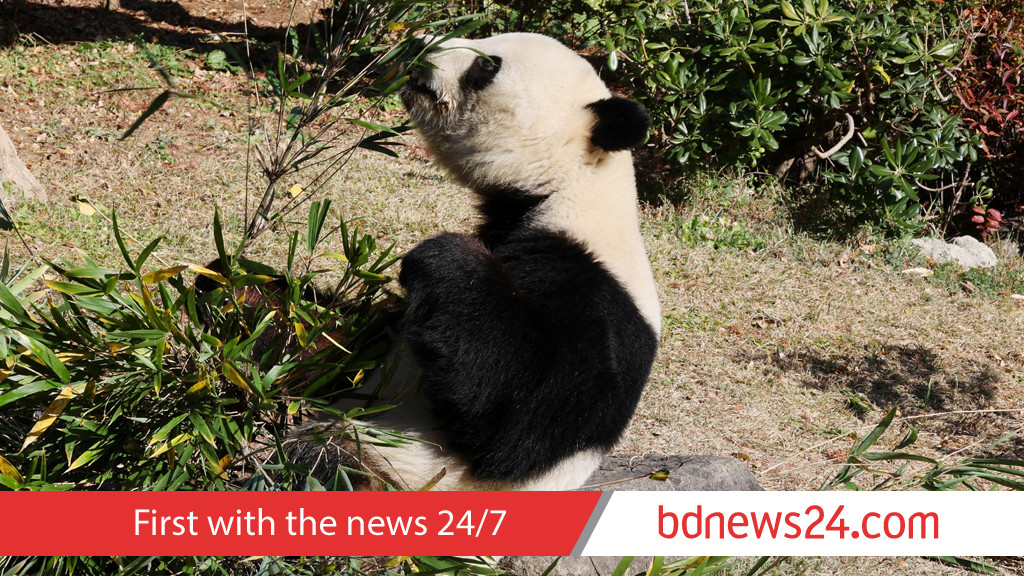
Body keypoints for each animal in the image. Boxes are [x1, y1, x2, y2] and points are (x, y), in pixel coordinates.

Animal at [287, 32, 660, 491]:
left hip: (394, 467)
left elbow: (524, 421)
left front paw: (448, 256)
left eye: (487, 65)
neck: (565, 187)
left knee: (324, 464)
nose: (418, 41)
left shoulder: (594, 292)